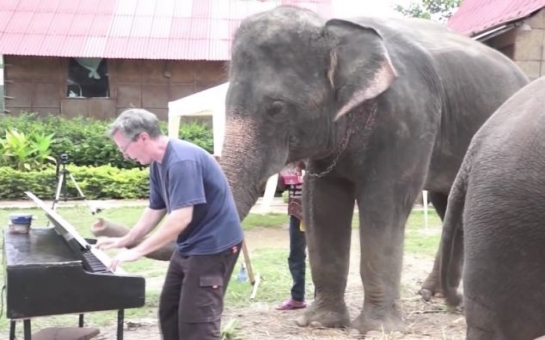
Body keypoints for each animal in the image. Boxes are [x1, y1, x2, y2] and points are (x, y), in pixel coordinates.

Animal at [219, 5, 528, 334]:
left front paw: (375, 329)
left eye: (276, 108)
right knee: (448, 207)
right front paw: (320, 323)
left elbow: (383, 203)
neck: (334, 30)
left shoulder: (407, 115)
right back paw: (437, 296)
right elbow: (323, 205)